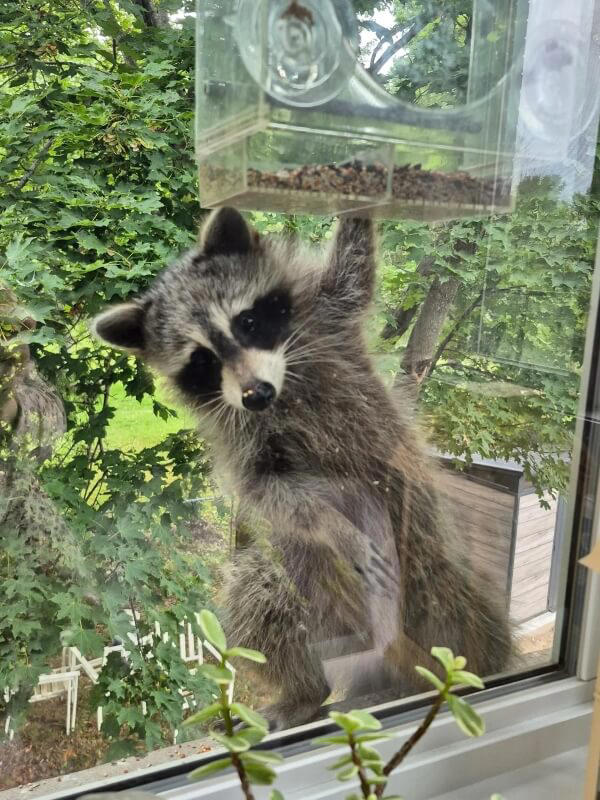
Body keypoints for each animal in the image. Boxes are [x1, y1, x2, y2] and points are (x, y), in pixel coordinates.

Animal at [93, 208, 511, 730]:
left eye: (247, 322)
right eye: (202, 360)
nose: (256, 394)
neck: (286, 381)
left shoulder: (330, 314)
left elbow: (355, 269)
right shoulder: (242, 435)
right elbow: (272, 491)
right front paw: (339, 529)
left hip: (427, 555)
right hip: (308, 577)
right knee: (260, 594)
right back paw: (307, 691)